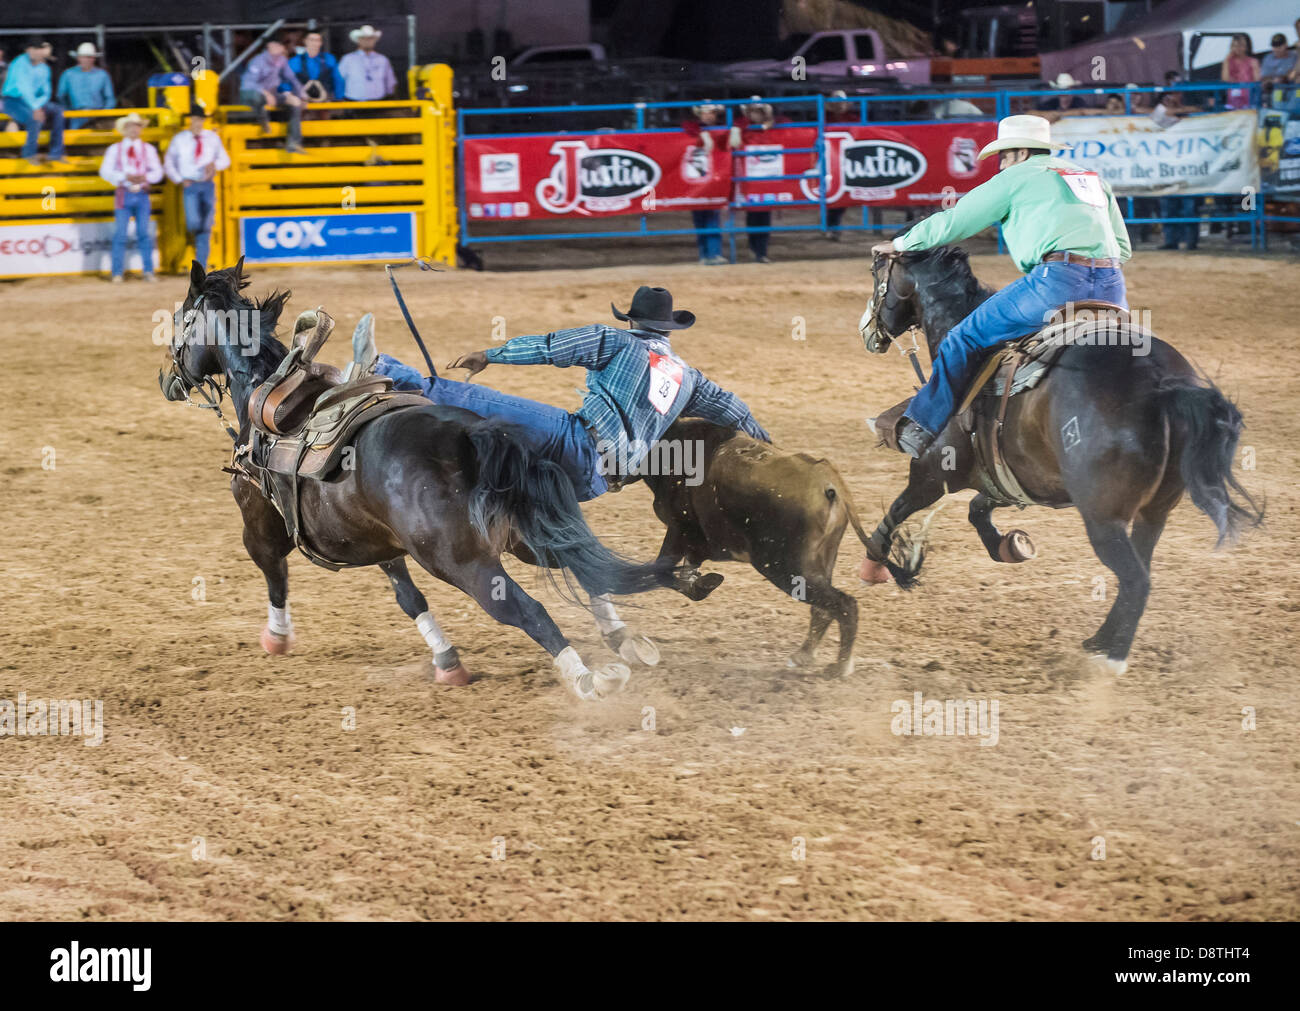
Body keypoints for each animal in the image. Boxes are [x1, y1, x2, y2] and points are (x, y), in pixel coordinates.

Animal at [159, 262, 712, 701]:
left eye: (180, 319)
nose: (168, 380)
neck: (271, 393)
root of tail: (474, 435)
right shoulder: (374, 539)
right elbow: (409, 598)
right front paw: (448, 662)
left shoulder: (259, 522)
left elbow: (274, 575)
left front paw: (277, 637)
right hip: (522, 535)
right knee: (588, 571)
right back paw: (631, 637)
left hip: (462, 561)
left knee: (528, 610)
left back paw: (589, 681)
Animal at [852, 244, 1258, 670]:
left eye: (875, 274)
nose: (867, 330)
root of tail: (1163, 382)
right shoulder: (1015, 479)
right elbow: (978, 510)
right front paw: (1010, 545)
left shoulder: (933, 473)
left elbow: (898, 509)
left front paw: (877, 567)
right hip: (1154, 512)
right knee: (1139, 570)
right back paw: (1099, 640)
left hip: (1103, 519)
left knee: (1136, 580)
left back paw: (1111, 658)